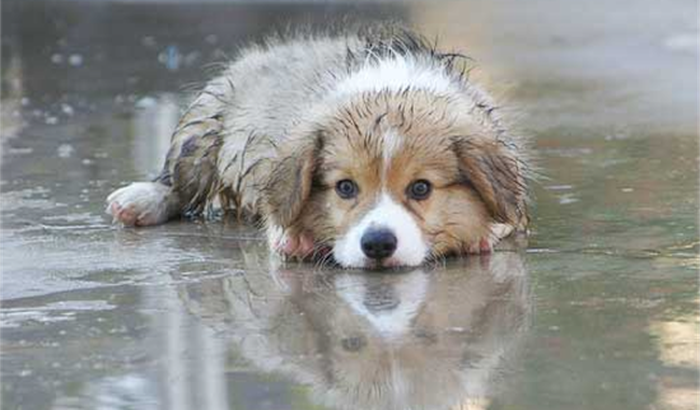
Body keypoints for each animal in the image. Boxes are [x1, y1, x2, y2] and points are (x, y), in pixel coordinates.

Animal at [106, 25, 528, 270]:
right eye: (346, 188)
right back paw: (139, 201)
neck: (389, 86)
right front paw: (293, 236)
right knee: (179, 179)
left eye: (421, 188)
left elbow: (507, 216)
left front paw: (482, 232)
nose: (377, 244)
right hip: (203, 126)